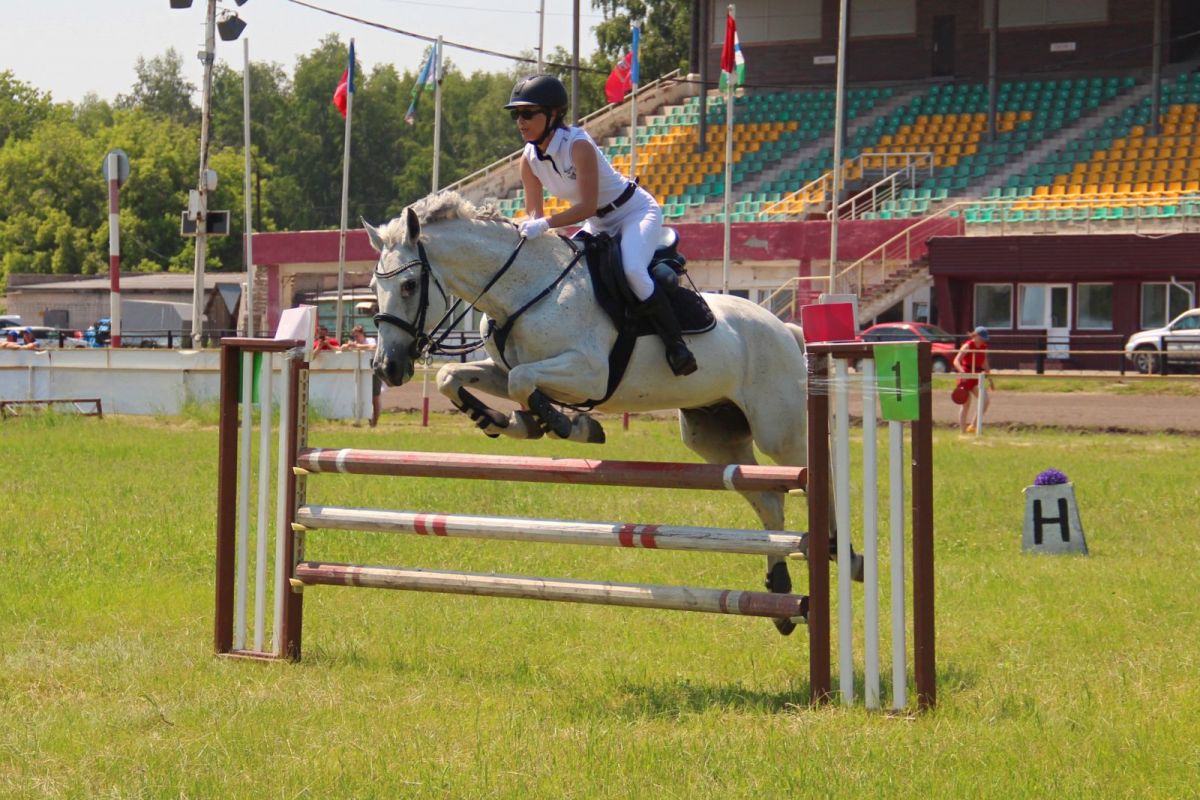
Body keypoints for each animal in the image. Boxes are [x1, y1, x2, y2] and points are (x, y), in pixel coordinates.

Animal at [364, 191, 844, 633]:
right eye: (373, 290)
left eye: (409, 286)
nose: (388, 368)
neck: (523, 289)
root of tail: (784, 327)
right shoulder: (502, 369)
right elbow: (457, 376)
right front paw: (504, 420)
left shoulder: (590, 373)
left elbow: (523, 379)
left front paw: (568, 424)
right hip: (713, 435)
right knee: (768, 499)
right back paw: (780, 591)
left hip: (779, 430)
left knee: (812, 474)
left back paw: (839, 549)